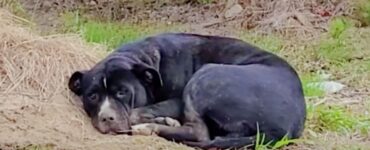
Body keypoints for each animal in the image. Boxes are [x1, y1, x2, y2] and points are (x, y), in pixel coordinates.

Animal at [68, 32, 304, 149]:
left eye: (122, 92)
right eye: (92, 96)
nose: (107, 118)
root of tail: (286, 129)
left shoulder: (176, 100)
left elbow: (137, 111)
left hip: (206, 75)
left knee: (199, 132)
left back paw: (148, 127)